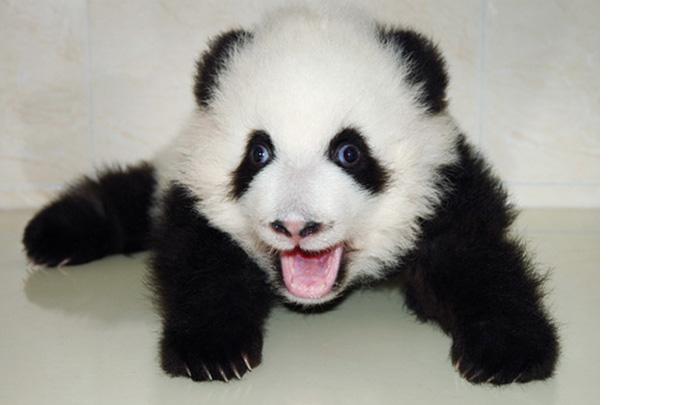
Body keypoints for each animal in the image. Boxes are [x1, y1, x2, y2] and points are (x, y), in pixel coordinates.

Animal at [22, 6, 559, 385]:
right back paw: (51, 233)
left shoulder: (443, 189)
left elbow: (474, 259)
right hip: (174, 161)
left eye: (349, 152)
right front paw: (212, 351)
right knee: (134, 194)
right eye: (258, 152)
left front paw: (508, 352)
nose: (297, 226)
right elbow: (200, 259)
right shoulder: (196, 194)